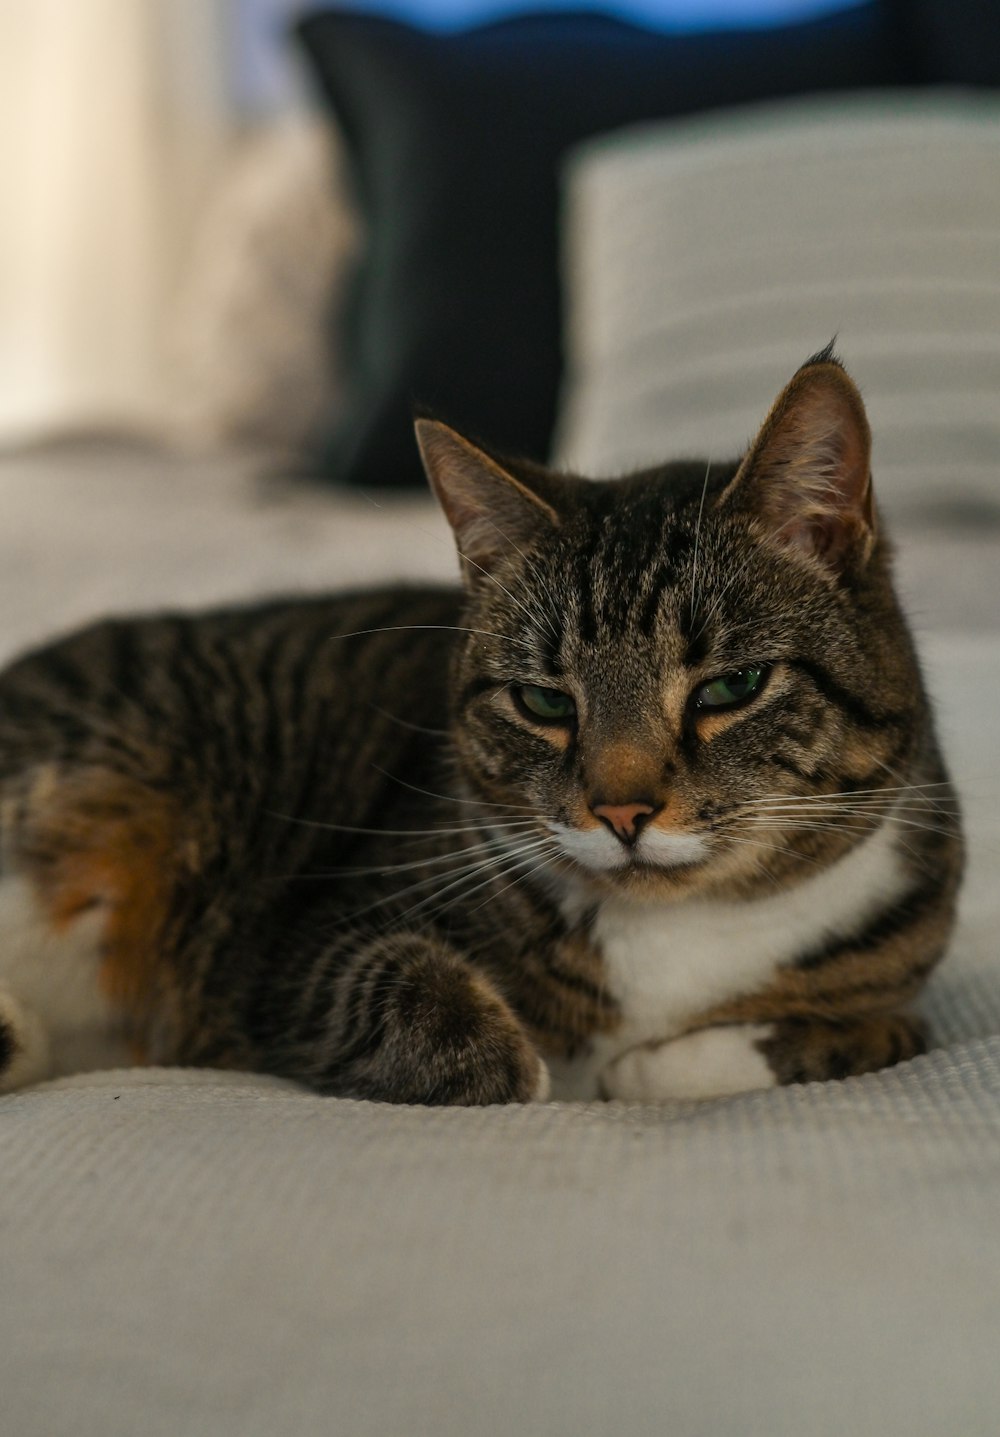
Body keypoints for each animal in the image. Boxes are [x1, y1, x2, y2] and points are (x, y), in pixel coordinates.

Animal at [1, 350, 971, 1097]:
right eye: (544, 703)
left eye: (731, 687)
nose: (622, 812)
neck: (676, 937)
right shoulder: (307, 939)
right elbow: (416, 1009)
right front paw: (532, 1065)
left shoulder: (905, 977)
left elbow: (880, 1031)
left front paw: (651, 1068)